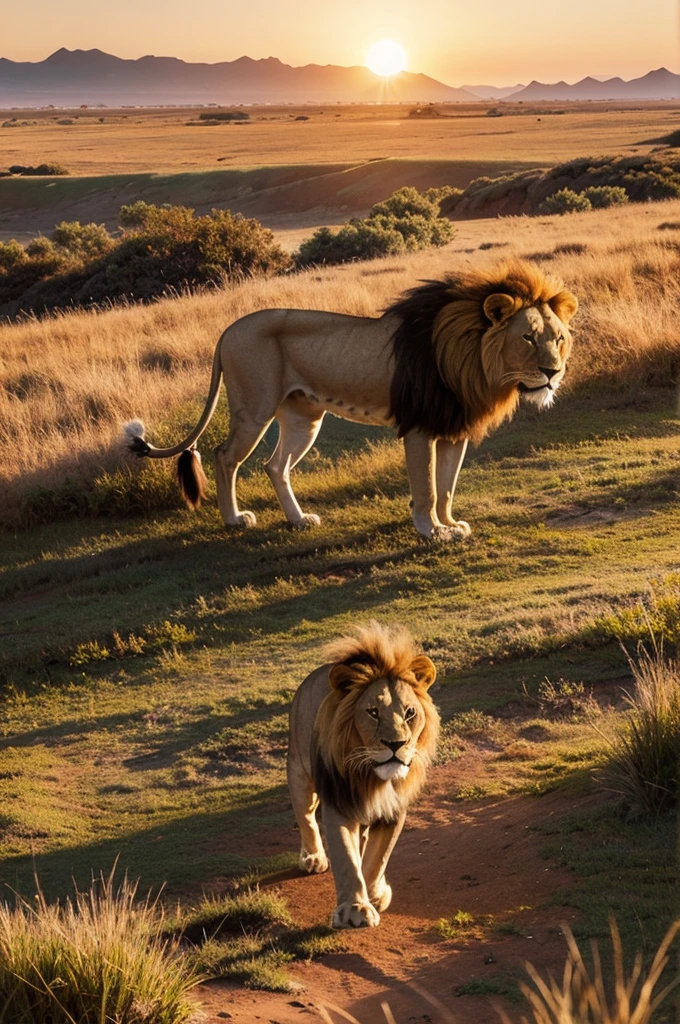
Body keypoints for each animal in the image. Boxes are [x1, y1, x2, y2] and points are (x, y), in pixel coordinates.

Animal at [124, 260, 577, 540]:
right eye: (527, 337)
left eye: (558, 338)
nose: (552, 373)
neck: (472, 358)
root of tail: (226, 331)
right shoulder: (420, 426)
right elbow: (427, 487)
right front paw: (431, 531)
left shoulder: (453, 428)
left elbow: (447, 486)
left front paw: (451, 525)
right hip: (254, 409)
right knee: (224, 457)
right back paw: (235, 519)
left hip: (304, 418)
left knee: (275, 465)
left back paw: (299, 520)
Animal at [284, 622, 436, 929]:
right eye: (372, 712)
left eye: (409, 712)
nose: (396, 744)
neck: (372, 776)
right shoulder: (338, 802)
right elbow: (346, 858)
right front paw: (354, 909)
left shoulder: (393, 810)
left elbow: (378, 858)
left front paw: (375, 894)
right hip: (299, 772)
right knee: (306, 817)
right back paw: (313, 857)